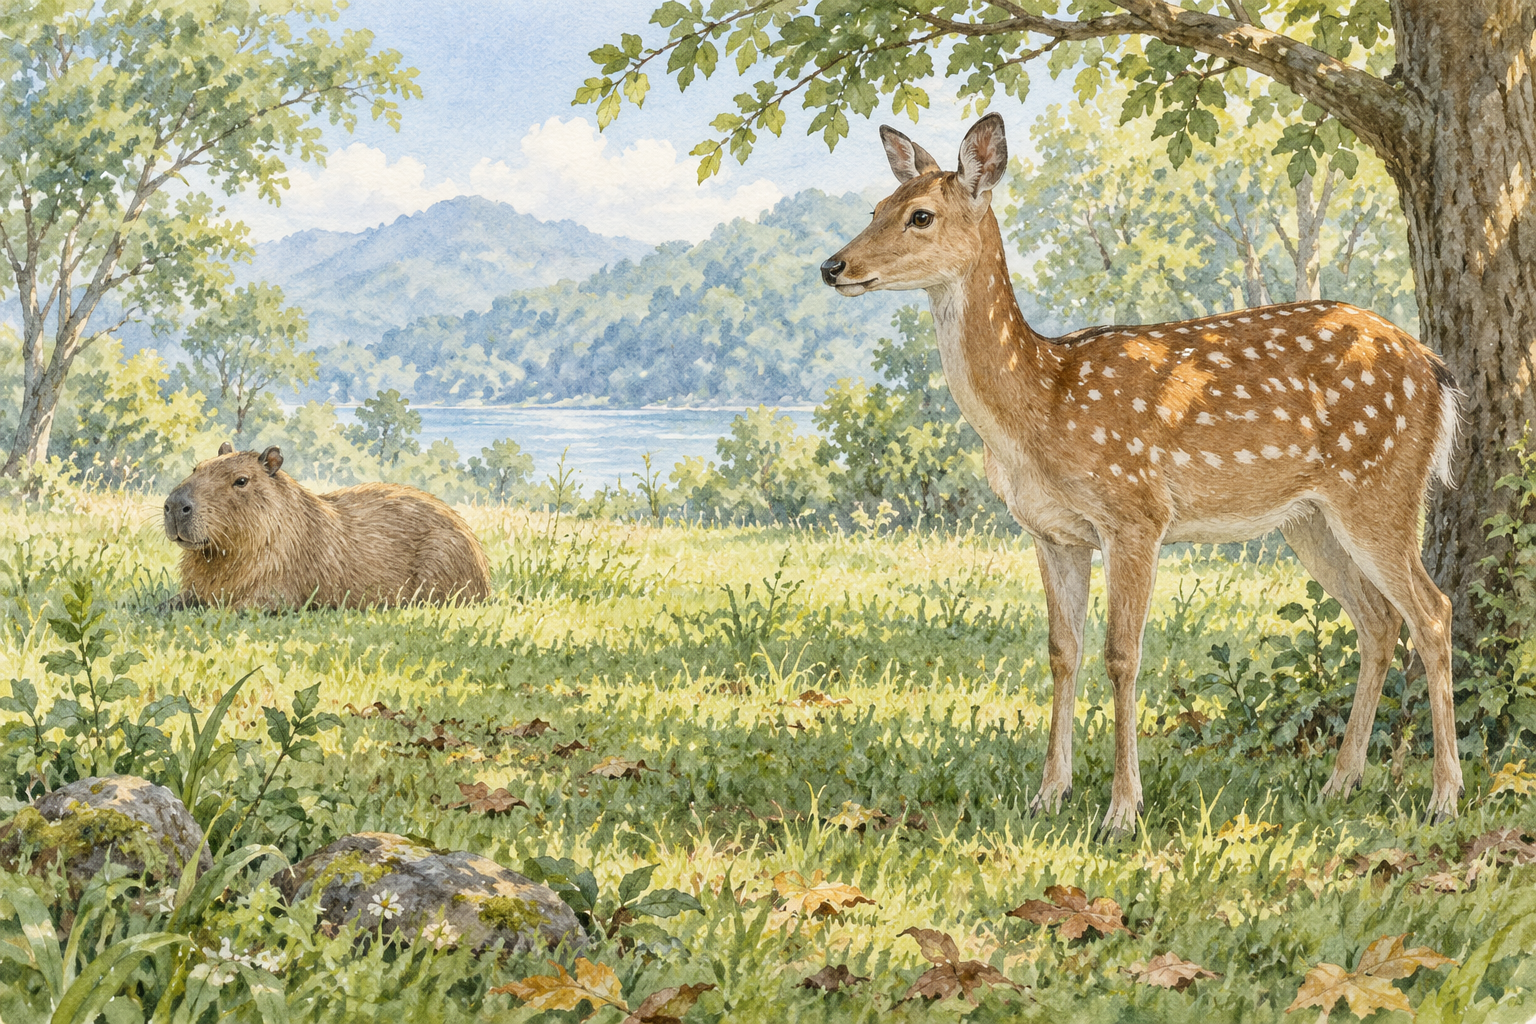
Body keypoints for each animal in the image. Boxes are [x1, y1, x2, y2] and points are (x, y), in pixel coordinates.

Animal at [820, 113, 1463, 838]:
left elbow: (1120, 654)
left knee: (1432, 612)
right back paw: (1339, 783)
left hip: (1381, 488)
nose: (833, 265)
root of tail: (1436, 369)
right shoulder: (1052, 533)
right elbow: (1062, 651)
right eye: (876, 208)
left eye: (921, 215)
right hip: (1310, 518)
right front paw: (1049, 794)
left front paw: (1122, 810)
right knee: (1378, 622)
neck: (1039, 406)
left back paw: (1444, 796)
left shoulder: (1135, 513)